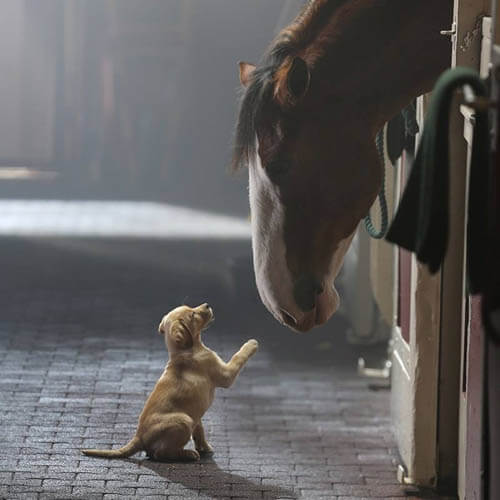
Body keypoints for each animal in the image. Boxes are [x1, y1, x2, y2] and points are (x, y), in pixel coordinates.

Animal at [81, 300, 258, 460]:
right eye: (192, 314)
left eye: (191, 307)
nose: (207, 305)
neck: (185, 351)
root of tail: (139, 437)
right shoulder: (225, 374)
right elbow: (239, 356)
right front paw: (251, 343)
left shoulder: (196, 414)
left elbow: (199, 430)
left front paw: (205, 447)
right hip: (184, 420)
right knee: (160, 453)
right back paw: (188, 454)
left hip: (188, 418)